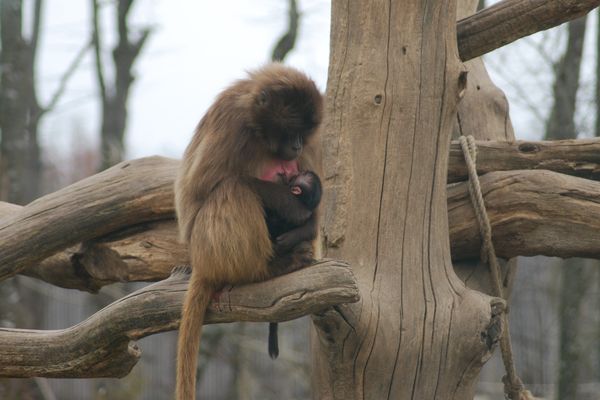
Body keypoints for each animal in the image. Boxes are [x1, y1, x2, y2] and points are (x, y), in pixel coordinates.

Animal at [173, 64, 324, 398]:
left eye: (303, 132)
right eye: (291, 129)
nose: (297, 145)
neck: (259, 132)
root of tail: (202, 263)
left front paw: (303, 224)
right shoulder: (232, 122)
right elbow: (203, 188)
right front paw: (290, 205)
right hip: (208, 248)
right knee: (232, 188)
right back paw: (265, 269)